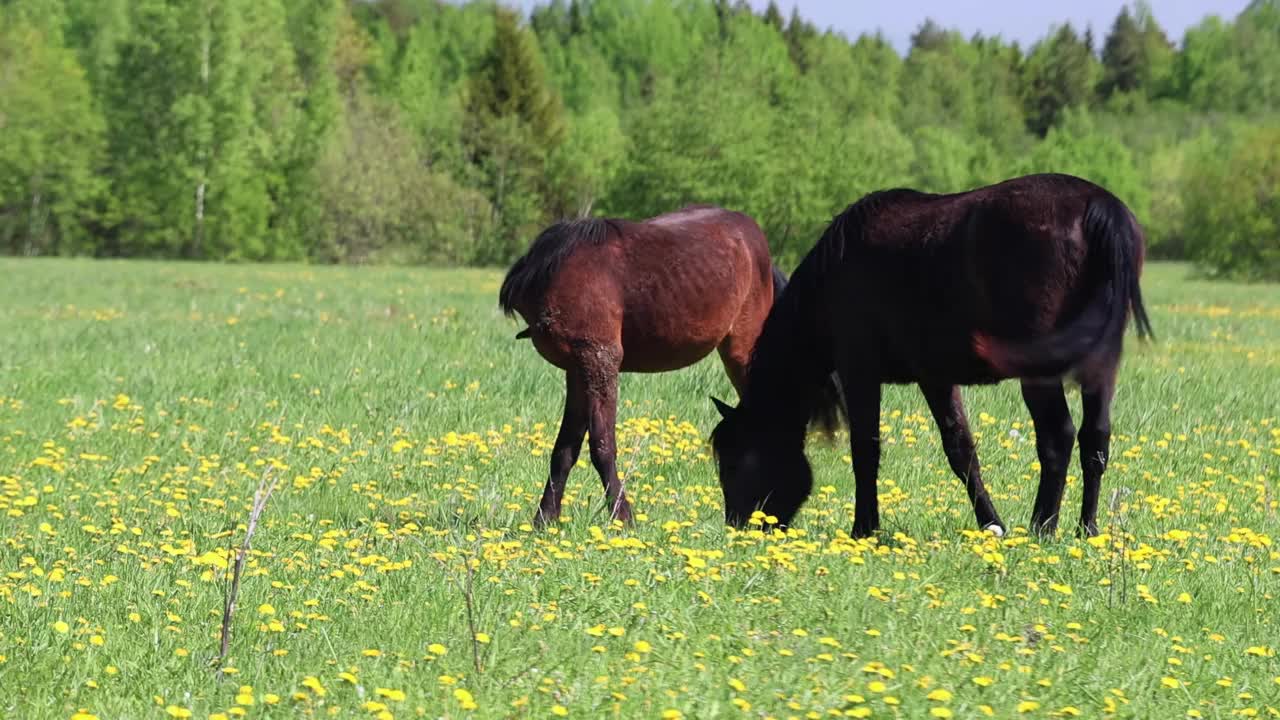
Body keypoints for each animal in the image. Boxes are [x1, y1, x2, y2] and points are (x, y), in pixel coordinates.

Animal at [501, 204, 788, 525]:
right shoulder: (577, 369)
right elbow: (565, 448)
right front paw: (545, 519)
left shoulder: (599, 359)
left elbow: (602, 445)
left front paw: (623, 517)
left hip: (743, 350)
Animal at [706, 170, 1157, 535]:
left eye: (736, 461)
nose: (738, 527)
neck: (834, 272)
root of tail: (1098, 206)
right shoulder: (936, 377)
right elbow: (961, 450)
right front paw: (991, 524)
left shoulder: (859, 370)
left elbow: (866, 448)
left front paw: (864, 528)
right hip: (1100, 367)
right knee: (1094, 438)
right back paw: (1086, 529)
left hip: (1041, 373)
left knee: (1057, 437)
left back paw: (1042, 528)